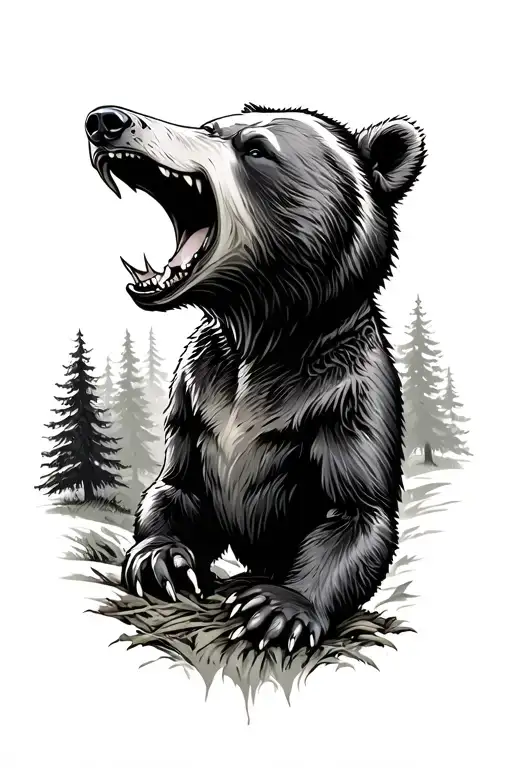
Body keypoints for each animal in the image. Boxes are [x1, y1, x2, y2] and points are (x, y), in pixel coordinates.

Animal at [85, 103, 425, 652]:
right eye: (209, 127)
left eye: (256, 148)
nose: (107, 120)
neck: (261, 335)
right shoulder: (200, 393)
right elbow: (176, 485)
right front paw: (161, 560)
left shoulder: (344, 398)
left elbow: (354, 512)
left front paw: (277, 609)